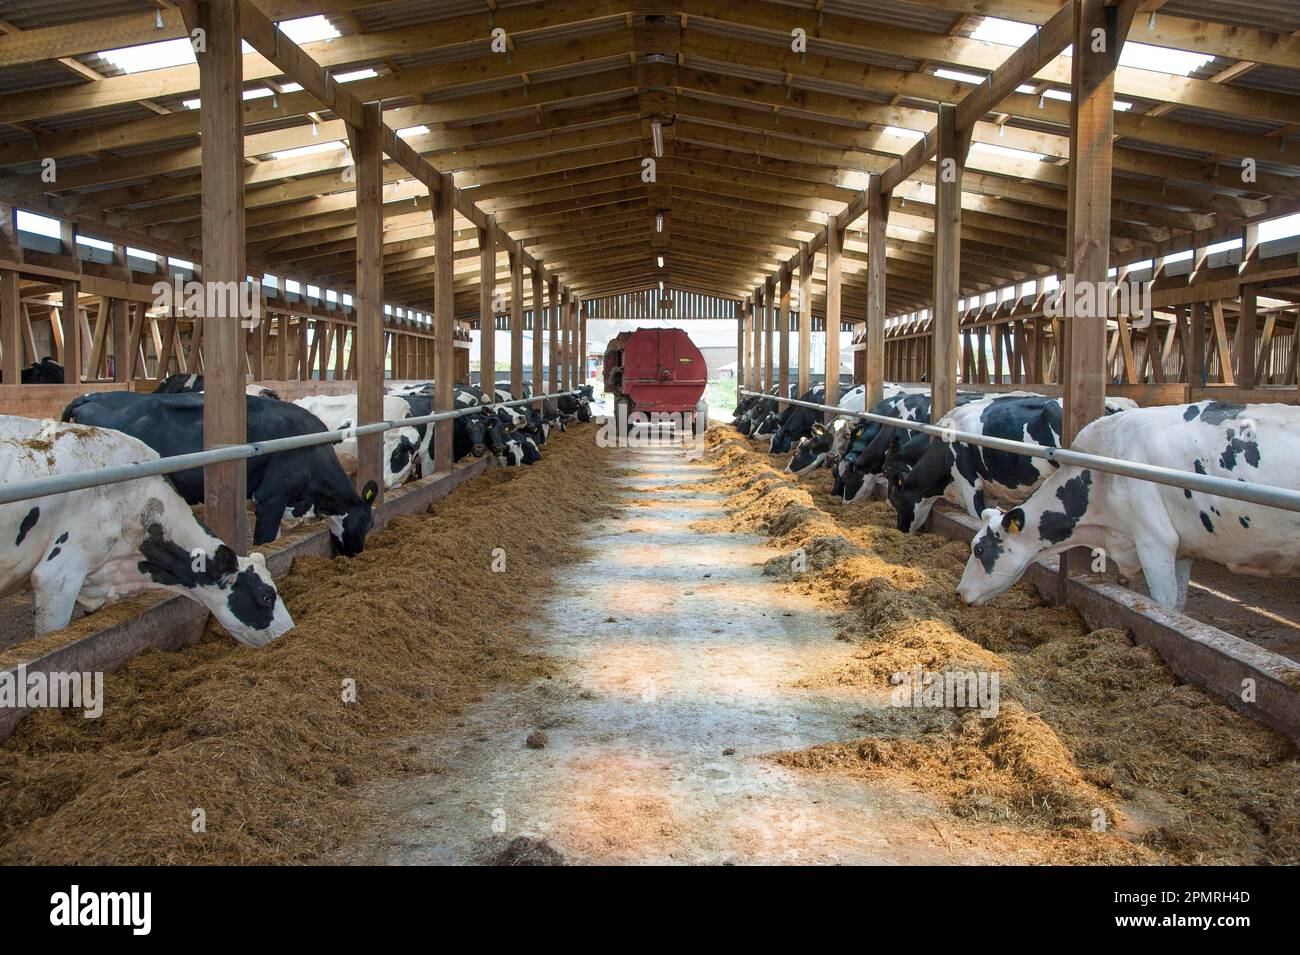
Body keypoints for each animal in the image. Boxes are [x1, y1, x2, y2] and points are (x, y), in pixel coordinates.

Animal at [951, 402, 1294, 613]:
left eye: (979, 549)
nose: (959, 593)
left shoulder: (1156, 541)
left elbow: (1164, 608)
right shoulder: (1183, 549)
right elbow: (1178, 609)